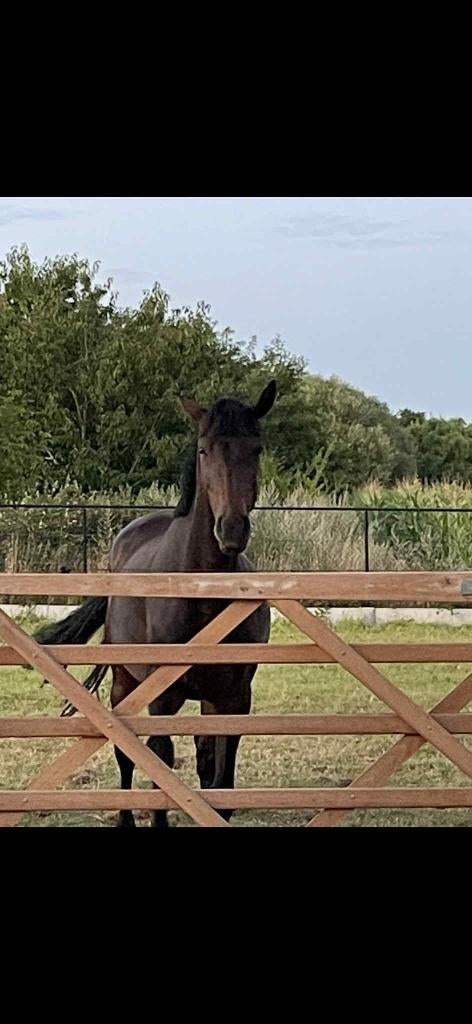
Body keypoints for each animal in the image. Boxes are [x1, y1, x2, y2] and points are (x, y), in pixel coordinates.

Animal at [35, 380, 277, 827]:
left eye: (256, 448)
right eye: (204, 450)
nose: (232, 530)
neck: (201, 595)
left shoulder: (235, 698)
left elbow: (221, 778)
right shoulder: (162, 698)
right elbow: (159, 762)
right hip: (125, 685)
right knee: (128, 755)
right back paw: (126, 818)